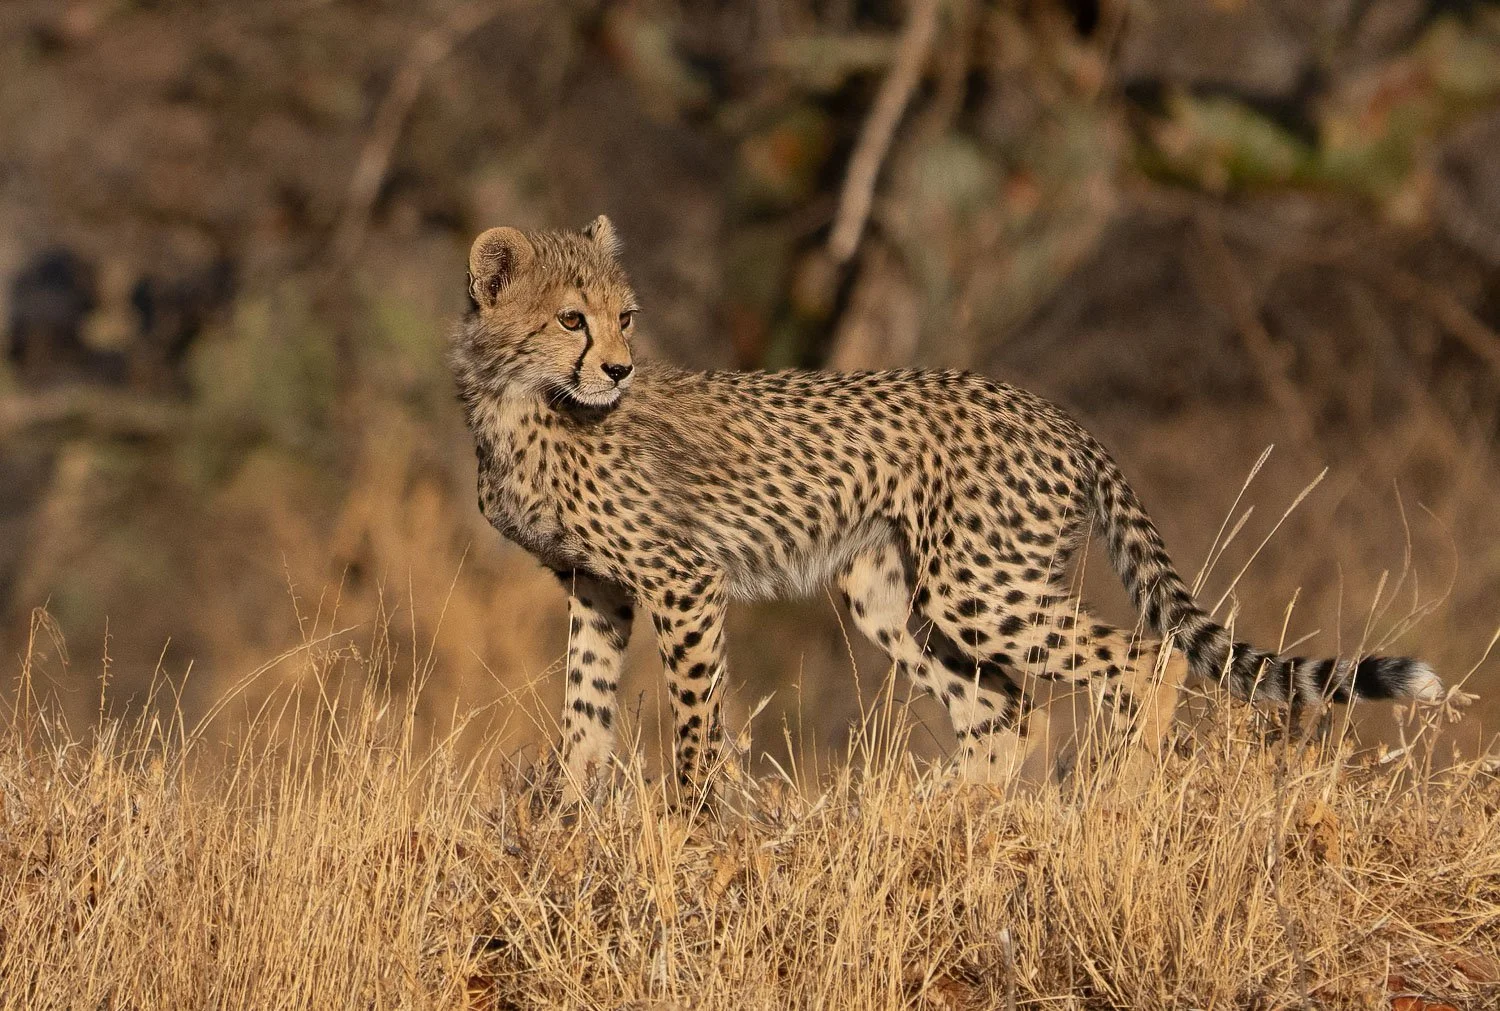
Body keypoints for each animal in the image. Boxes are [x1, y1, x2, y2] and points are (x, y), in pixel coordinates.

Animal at [448, 215, 1447, 804]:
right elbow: (585, 707)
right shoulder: (598, 585)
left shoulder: (682, 579)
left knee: (1140, 657)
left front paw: (689, 826)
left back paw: (1119, 799)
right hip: (891, 592)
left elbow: (694, 722)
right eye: (572, 319)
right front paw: (568, 821)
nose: (618, 369)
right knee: (1005, 710)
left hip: (977, 585)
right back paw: (939, 820)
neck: (519, 402)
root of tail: (1053, 410)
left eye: (625, 316)